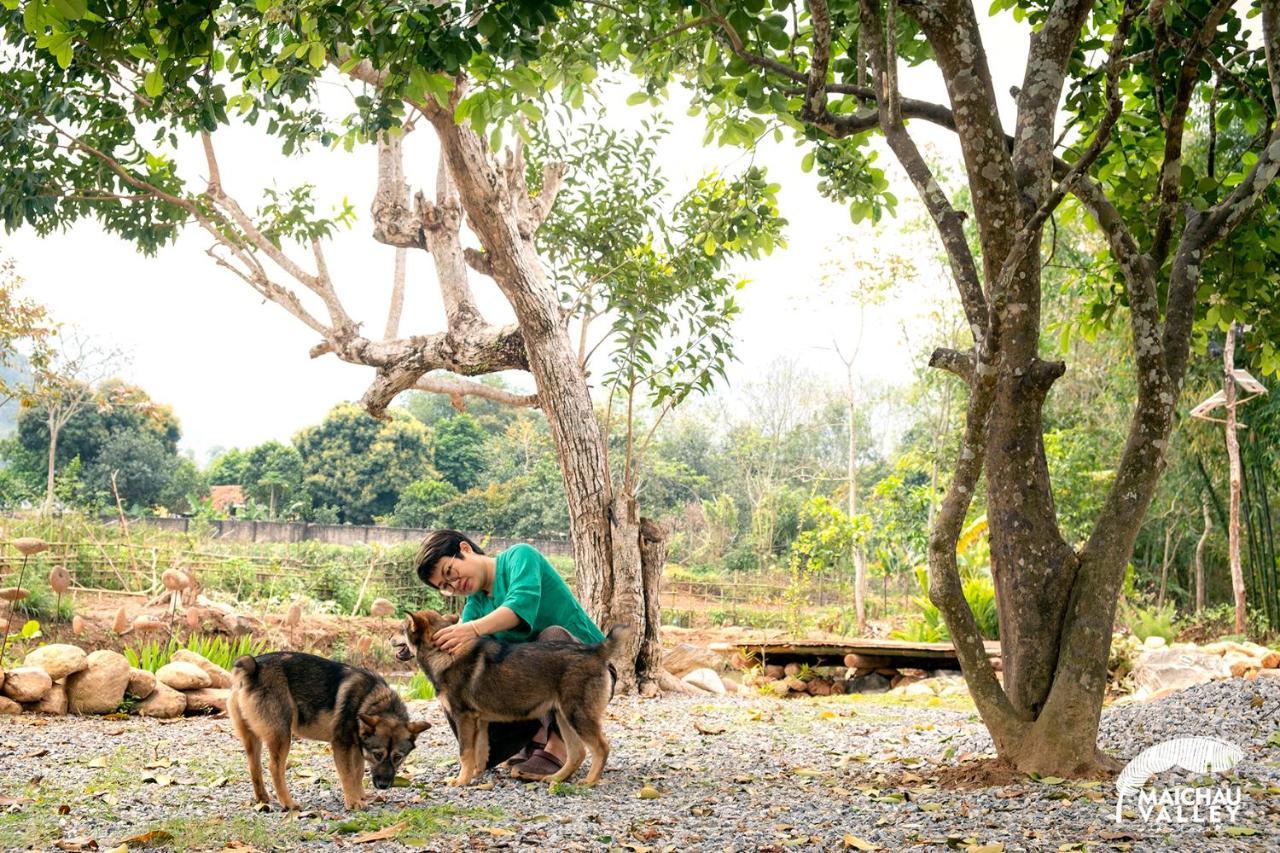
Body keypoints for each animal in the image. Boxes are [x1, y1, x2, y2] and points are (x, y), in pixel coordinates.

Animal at [229, 648, 430, 809]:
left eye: (398, 757)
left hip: (252, 740)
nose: (383, 785)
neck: (371, 699)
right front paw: (353, 802)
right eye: (378, 755)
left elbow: (357, 774)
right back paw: (288, 803)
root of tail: (253, 667)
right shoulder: (341, 746)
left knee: (254, 767)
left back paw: (262, 798)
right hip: (282, 736)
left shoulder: (357, 748)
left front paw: (361, 796)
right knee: (274, 768)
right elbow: (348, 775)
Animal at [391, 612, 627, 783]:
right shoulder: (480, 722)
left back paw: (589, 781)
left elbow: (465, 752)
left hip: (577, 715)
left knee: (601, 748)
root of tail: (595, 651)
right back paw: (554, 778)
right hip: (564, 717)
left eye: (402, 628)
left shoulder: (463, 718)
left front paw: (460, 781)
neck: (443, 652)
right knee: (577, 753)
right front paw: (474, 776)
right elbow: (479, 752)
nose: (389, 638)